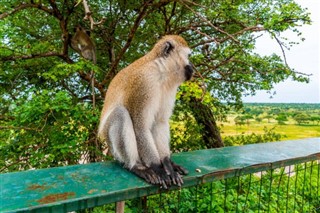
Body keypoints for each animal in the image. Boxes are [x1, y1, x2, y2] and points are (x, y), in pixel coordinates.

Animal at [97, 34, 192, 188]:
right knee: (120, 114)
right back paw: (136, 166)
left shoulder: (170, 87)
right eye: (188, 56)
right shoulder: (143, 84)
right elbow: (140, 127)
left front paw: (167, 164)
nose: (193, 67)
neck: (160, 72)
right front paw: (158, 169)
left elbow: (160, 122)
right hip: (112, 145)